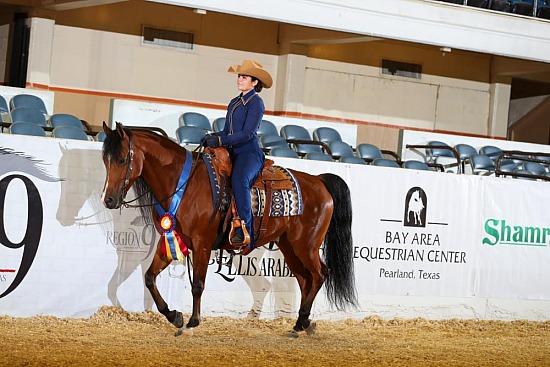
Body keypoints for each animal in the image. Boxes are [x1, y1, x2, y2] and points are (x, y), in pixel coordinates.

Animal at [100, 122, 358, 338]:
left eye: (122, 160)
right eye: (105, 160)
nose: (109, 200)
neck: (185, 185)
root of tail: (319, 180)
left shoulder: (202, 244)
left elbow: (198, 284)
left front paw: (191, 323)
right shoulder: (172, 239)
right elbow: (150, 278)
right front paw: (174, 316)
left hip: (306, 245)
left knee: (319, 275)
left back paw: (303, 321)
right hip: (288, 245)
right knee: (306, 280)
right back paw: (300, 325)